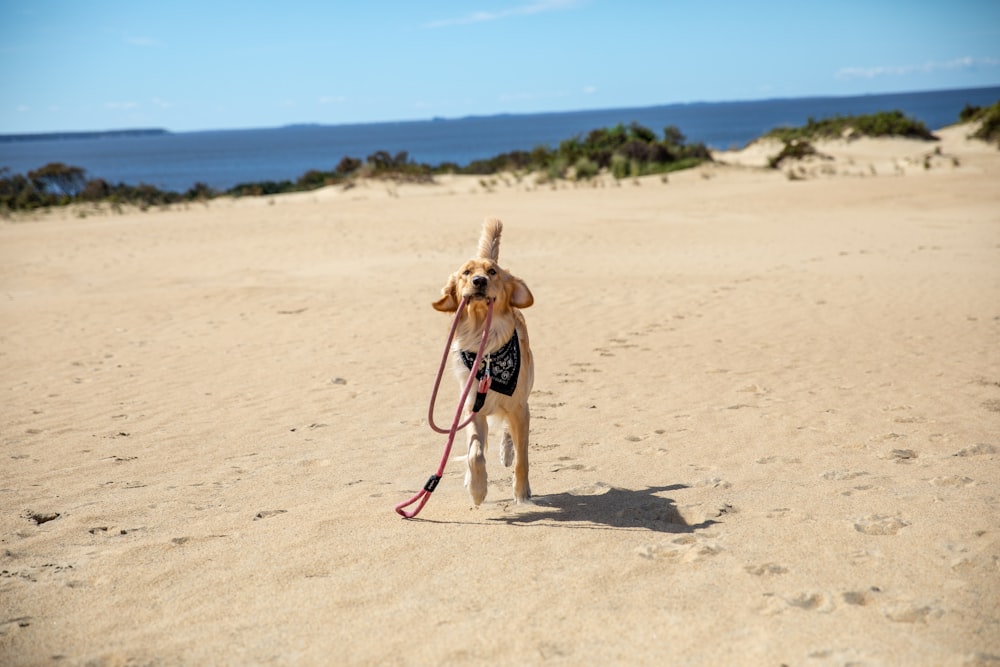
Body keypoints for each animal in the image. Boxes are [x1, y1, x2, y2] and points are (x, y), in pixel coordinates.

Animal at [434, 219, 536, 506]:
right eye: (466, 272)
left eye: (492, 272)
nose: (479, 281)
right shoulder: (472, 409)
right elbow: (475, 453)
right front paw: (477, 489)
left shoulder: (519, 408)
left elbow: (522, 459)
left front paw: (522, 494)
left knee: (509, 434)